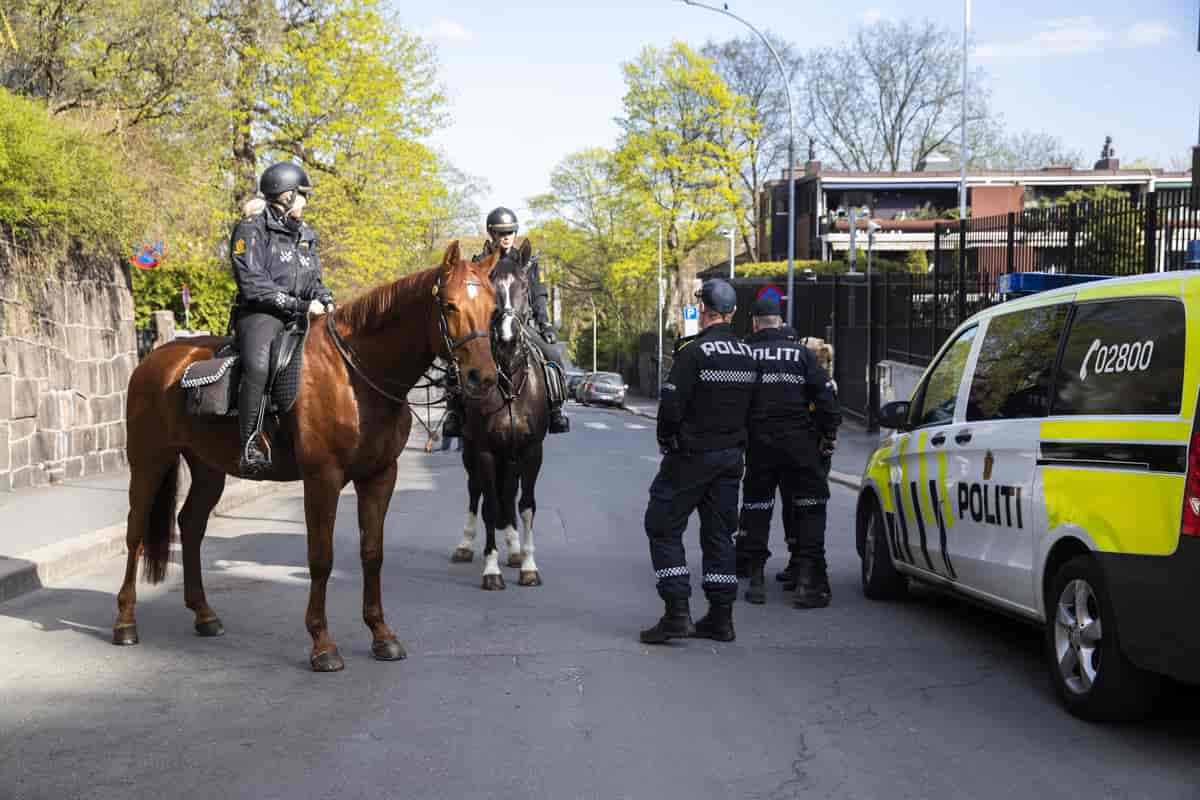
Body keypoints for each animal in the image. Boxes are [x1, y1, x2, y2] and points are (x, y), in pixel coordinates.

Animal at [115, 241, 496, 671]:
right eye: (449, 305)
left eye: (493, 307)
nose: (483, 377)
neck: (355, 374)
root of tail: (155, 360)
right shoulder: (322, 478)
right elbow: (321, 558)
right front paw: (322, 644)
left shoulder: (380, 476)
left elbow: (372, 553)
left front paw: (382, 635)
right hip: (149, 462)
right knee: (135, 534)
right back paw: (125, 622)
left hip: (209, 468)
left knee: (191, 525)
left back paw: (204, 615)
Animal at [451, 242, 549, 587]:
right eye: (491, 291)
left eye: (524, 287)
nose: (507, 340)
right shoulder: (484, 451)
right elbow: (490, 505)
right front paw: (491, 570)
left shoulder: (531, 451)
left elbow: (526, 505)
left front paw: (529, 565)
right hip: (471, 451)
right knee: (476, 492)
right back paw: (466, 545)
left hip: (512, 456)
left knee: (509, 494)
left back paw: (515, 548)